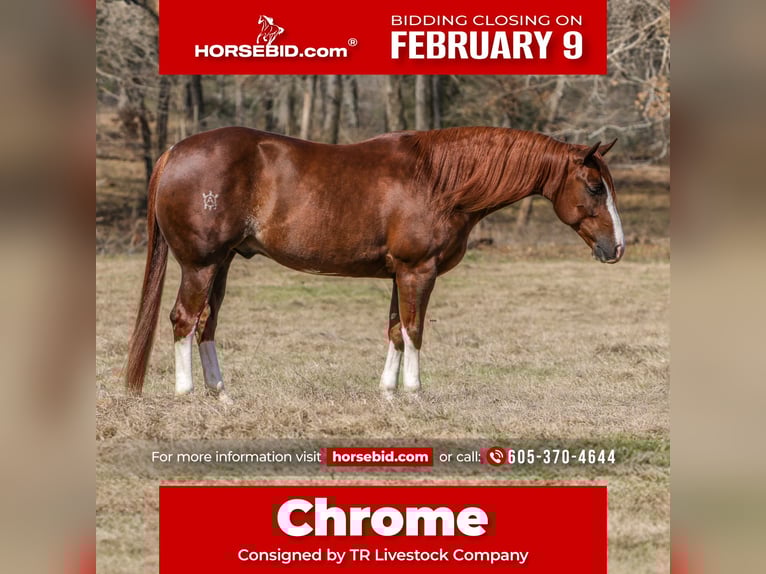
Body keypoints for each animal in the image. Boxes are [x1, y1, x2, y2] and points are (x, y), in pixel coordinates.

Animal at [125, 127, 623, 402]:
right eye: (594, 187)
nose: (616, 248)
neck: (438, 180)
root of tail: (174, 152)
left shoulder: (399, 273)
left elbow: (395, 330)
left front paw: (388, 391)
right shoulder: (418, 270)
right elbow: (414, 329)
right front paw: (414, 391)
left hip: (223, 264)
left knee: (206, 323)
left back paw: (221, 394)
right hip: (201, 264)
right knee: (184, 319)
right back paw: (187, 393)